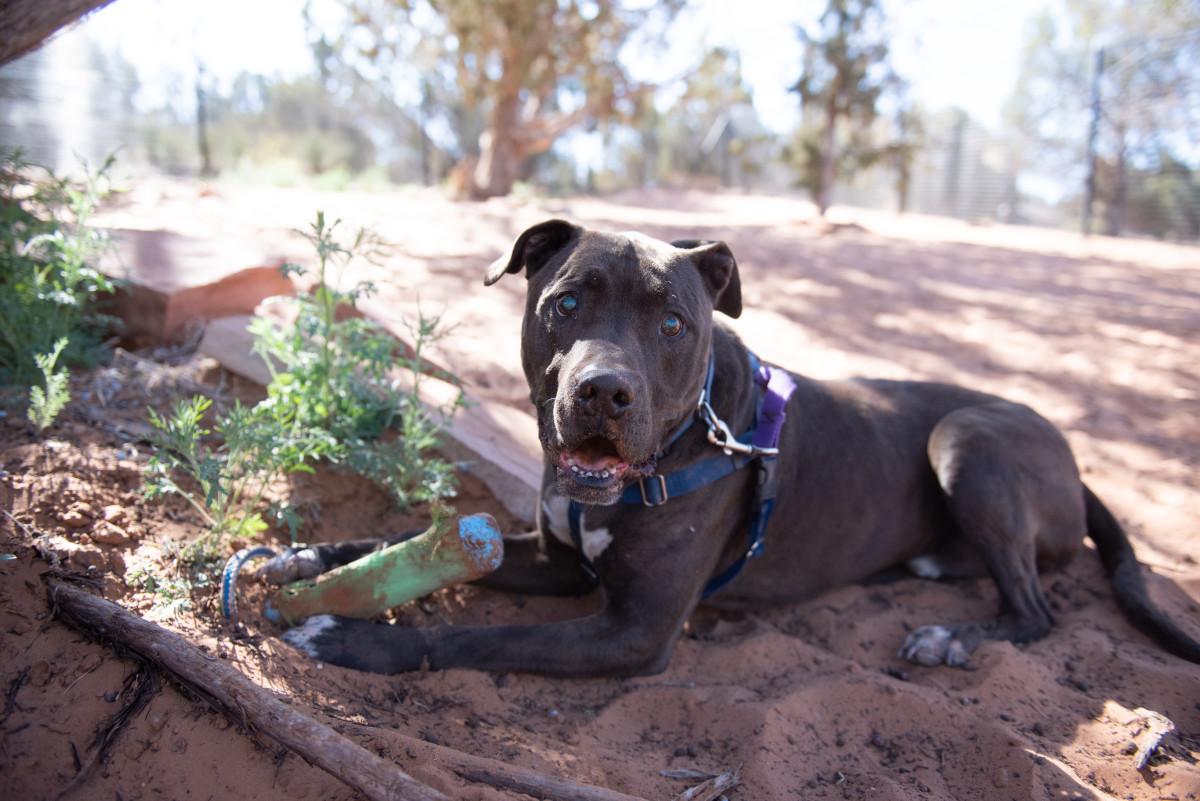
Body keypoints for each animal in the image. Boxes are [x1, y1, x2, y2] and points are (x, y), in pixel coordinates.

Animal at [276, 219, 1200, 676]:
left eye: (674, 324)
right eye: (567, 303)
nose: (604, 392)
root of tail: (1072, 455)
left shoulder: (636, 630)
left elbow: (484, 638)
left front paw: (358, 641)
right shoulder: (557, 559)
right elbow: (402, 541)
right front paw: (306, 558)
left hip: (966, 438)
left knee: (1038, 610)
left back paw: (951, 639)